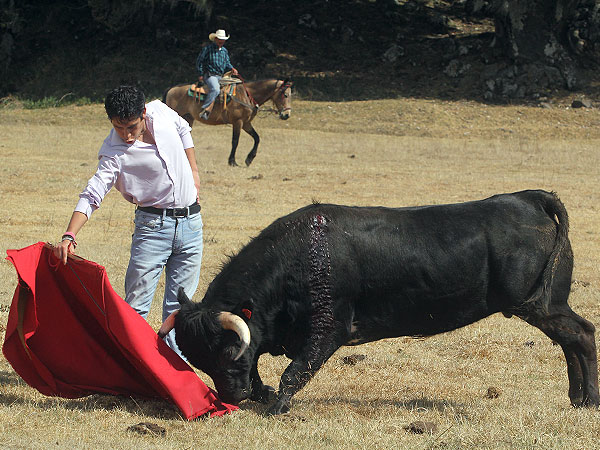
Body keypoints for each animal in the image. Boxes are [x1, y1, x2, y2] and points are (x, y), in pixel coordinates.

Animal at [159, 190, 600, 414]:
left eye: (227, 353)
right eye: (200, 360)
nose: (232, 398)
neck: (298, 258)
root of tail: (529, 199)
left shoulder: (329, 328)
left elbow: (295, 371)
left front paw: (276, 407)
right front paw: (262, 396)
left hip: (539, 305)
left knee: (582, 333)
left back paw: (589, 401)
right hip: (546, 305)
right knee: (571, 341)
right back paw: (577, 398)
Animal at [164, 79, 292, 167]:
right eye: (285, 95)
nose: (287, 115)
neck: (247, 96)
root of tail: (171, 89)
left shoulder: (246, 123)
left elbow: (257, 138)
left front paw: (249, 159)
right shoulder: (238, 122)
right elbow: (235, 141)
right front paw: (232, 161)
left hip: (188, 118)